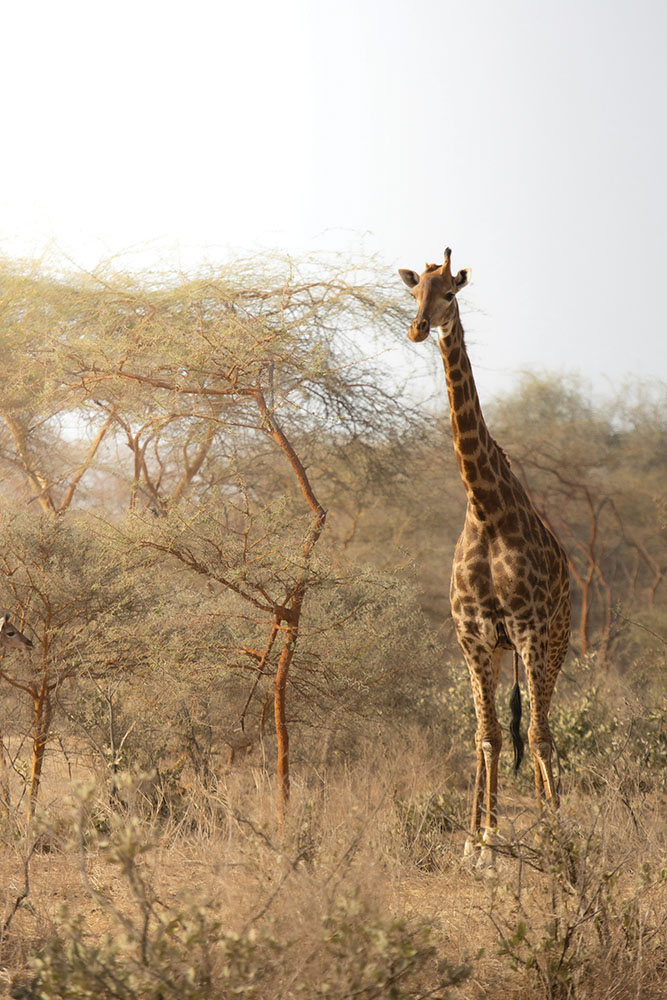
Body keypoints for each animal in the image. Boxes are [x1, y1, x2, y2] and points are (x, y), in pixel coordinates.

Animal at [399, 248, 570, 864]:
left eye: (450, 293)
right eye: (414, 292)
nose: (418, 328)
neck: (486, 506)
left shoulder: (529, 629)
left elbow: (537, 736)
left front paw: (555, 838)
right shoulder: (474, 635)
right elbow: (488, 737)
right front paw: (484, 846)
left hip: (553, 643)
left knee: (546, 727)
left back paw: (548, 822)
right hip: (498, 653)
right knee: (493, 733)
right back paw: (483, 830)